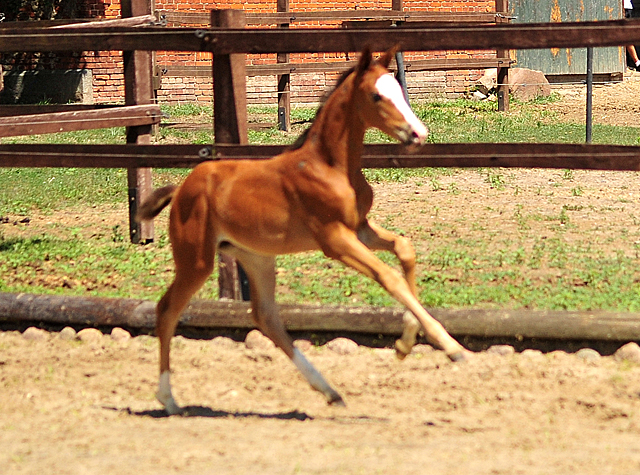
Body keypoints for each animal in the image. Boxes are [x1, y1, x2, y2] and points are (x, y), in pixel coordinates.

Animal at [138, 46, 468, 414]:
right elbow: (389, 277)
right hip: (196, 260)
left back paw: (329, 391)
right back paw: (168, 399)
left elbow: (404, 249)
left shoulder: (359, 228)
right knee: (167, 309)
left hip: (256, 257)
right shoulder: (334, 238)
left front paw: (405, 344)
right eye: (377, 95)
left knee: (266, 317)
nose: (418, 133)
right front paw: (451, 347)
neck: (330, 166)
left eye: (398, 89)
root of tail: (181, 188)